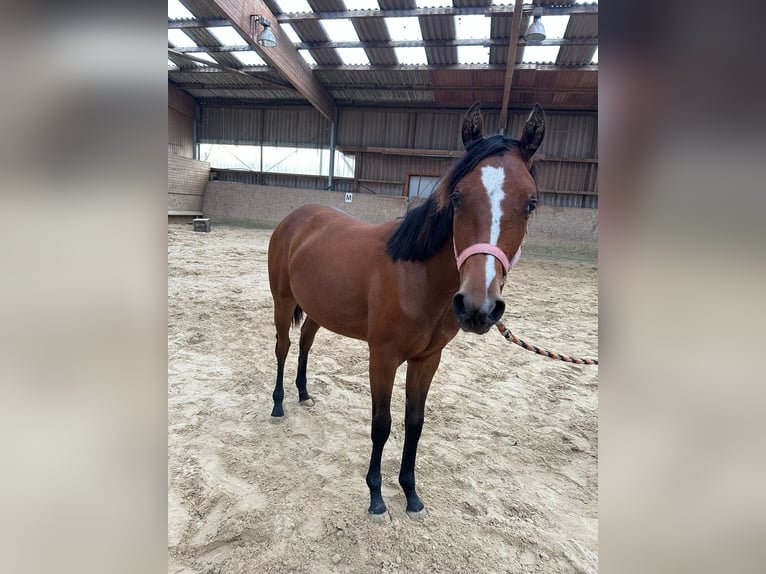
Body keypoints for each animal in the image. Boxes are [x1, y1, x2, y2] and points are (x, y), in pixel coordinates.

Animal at [267, 102, 545, 520]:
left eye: (530, 203)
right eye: (458, 196)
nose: (477, 306)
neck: (416, 275)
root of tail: (297, 217)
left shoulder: (427, 359)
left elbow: (414, 422)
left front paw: (411, 493)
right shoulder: (382, 357)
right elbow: (381, 424)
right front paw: (376, 496)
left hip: (317, 309)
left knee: (304, 345)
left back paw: (303, 393)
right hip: (283, 302)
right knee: (283, 347)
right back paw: (279, 403)